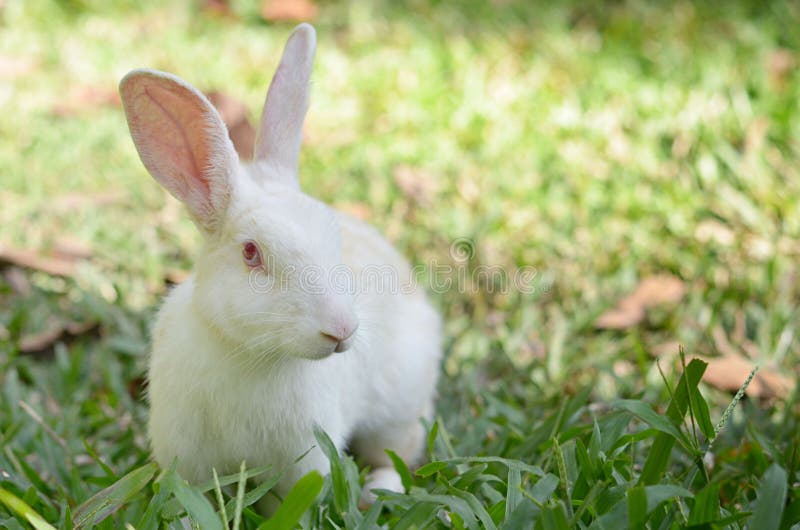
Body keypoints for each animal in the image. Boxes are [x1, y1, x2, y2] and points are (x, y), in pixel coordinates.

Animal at [119, 22, 440, 510]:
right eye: (251, 253)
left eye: (334, 238)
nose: (342, 330)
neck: (248, 352)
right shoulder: (188, 464)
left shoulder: (300, 464)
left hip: (399, 409)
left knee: (395, 453)